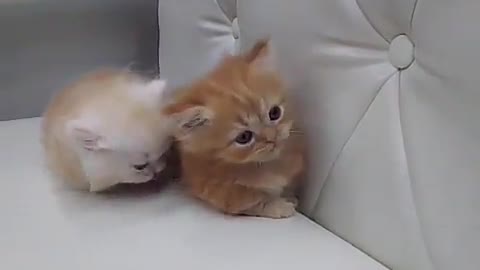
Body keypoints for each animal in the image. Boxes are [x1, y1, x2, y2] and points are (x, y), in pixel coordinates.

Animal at [161, 40, 304, 218]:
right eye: (243, 137)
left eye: (275, 113)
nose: (272, 138)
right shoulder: (219, 191)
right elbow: (254, 200)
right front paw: (280, 206)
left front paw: (289, 196)